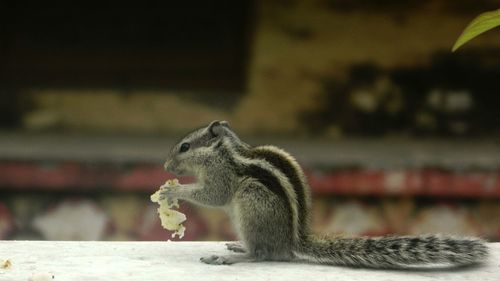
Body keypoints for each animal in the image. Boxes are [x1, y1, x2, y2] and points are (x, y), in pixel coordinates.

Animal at [161, 120, 488, 266]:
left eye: (185, 147)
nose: (165, 166)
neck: (222, 151)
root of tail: (292, 242)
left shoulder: (223, 175)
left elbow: (213, 195)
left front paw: (173, 190)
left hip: (252, 201)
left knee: (264, 254)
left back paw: (235, 257)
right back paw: (238, 247)